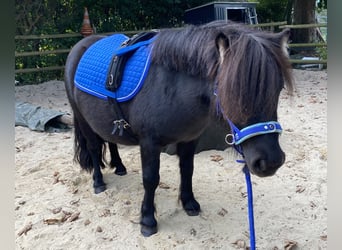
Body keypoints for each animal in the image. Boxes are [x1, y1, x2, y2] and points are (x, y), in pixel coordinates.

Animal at [62, 21, 292, 236]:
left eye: (278, 88)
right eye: (232, 92)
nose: (270, 161)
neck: (172, 85)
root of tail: (80, 46)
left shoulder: (190, 140)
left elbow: (187, 170)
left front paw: (189, 203)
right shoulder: (149, 143)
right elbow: (151, 179)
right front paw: (147, 220)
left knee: (111, 140)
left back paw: (119, 167)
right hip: (83, 119)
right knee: (93, 148)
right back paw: (98, 182)